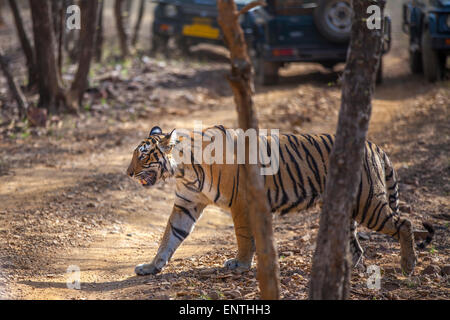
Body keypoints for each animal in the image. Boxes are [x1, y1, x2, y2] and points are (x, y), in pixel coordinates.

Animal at [125, 125, 432, 276]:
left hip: (370, 204)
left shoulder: (241, 203)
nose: (127, 173)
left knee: (405, 222)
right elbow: (169, 237)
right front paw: (152, 267)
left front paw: (240, 264)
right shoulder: (186, 204)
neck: (185, 169)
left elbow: (243, 237)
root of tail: (374, 146)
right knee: (357, 247)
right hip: (348, 207)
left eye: (143, 155)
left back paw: (408, 266)